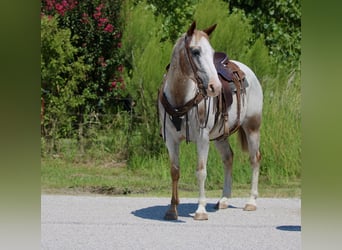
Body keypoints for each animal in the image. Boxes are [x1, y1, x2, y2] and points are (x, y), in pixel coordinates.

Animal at [156, 22, 264, 221]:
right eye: (195, 51)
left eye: (212, 52)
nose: (216, 87)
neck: (180, 97)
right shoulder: (171, 140)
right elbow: (175, 171)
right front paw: (172, 209)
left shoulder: (202, 138)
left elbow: (201, 171)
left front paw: (200, 210)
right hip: (221, 136)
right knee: (228, 158)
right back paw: (224, 199)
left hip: (252, 127)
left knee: (254, 158)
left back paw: (251, 201)